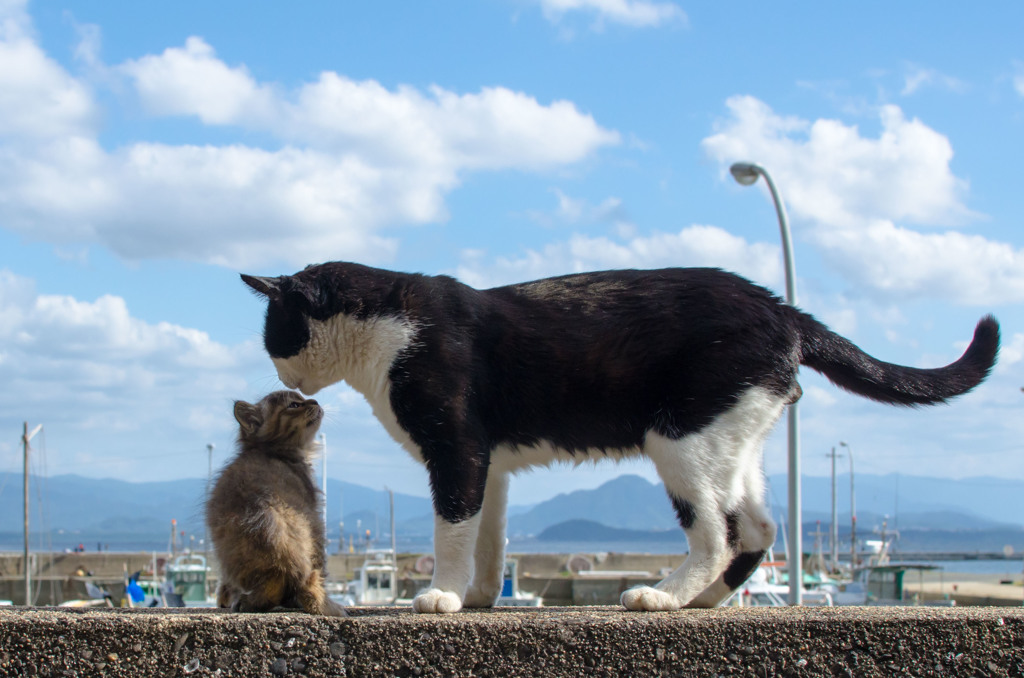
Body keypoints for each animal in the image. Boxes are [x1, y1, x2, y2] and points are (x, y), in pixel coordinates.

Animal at [205, 391, 346, 618]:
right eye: (294, 405)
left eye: (303, 398)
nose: (315, 401)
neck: (273, 451)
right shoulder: (313, 514)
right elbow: (320, 564)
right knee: (308, 579)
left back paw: (249, 601)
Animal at [237, 262, 991, 614]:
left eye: (275, 334)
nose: (277, 367)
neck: (388, 329)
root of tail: (782, 308)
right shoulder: (491, 464)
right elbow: (489, 538)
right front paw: (480, 596)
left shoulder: (457, 449)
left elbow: (451, 528)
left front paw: (441, 595)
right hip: (731, 436)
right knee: (758, 527)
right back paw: (706, 600)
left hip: (680, 438)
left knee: (717, 533)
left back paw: (664, 595)